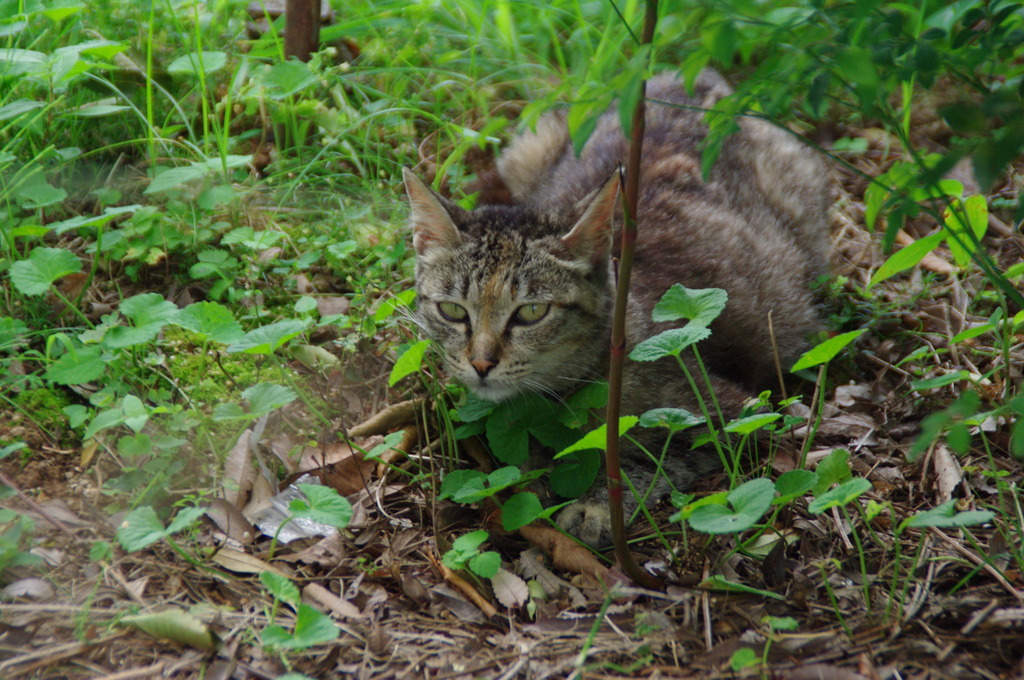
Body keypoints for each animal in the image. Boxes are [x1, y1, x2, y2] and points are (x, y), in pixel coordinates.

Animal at [401, 70, 831, 548]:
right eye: (453, 311)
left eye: (531, 313)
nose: (480, 363)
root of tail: (687, 75)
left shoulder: (738, 413)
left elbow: (655, 454)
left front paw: (594, 504)